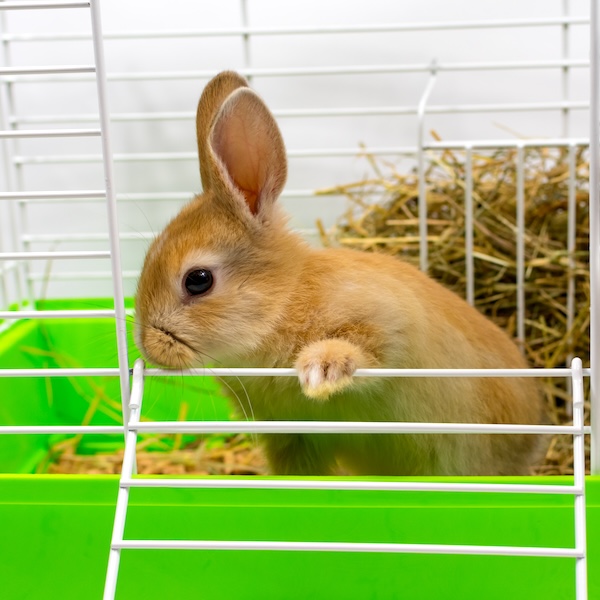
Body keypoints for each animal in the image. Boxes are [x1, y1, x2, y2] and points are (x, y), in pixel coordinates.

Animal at [136, 70, 548, 476]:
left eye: (198, 280)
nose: (150, 348)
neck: (281, 303)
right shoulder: (292, 438)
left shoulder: (388, 323)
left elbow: (364, 347)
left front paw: (320, 371)